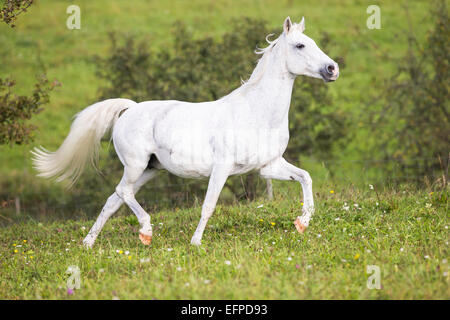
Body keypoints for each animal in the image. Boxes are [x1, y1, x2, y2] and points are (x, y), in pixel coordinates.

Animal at [32, 16, 338, 248]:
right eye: (300, 45)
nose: (332, 69)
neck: (256, 111)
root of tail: (130, 109)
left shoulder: (267, 166)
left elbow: (305, 177)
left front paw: (302, 223)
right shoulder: (223, 167)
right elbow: (209, 205)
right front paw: (196, 243)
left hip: (149, 170)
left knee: (113, 199)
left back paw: (88, 243)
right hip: (136, 165)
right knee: (122, 191)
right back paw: (145, 231)